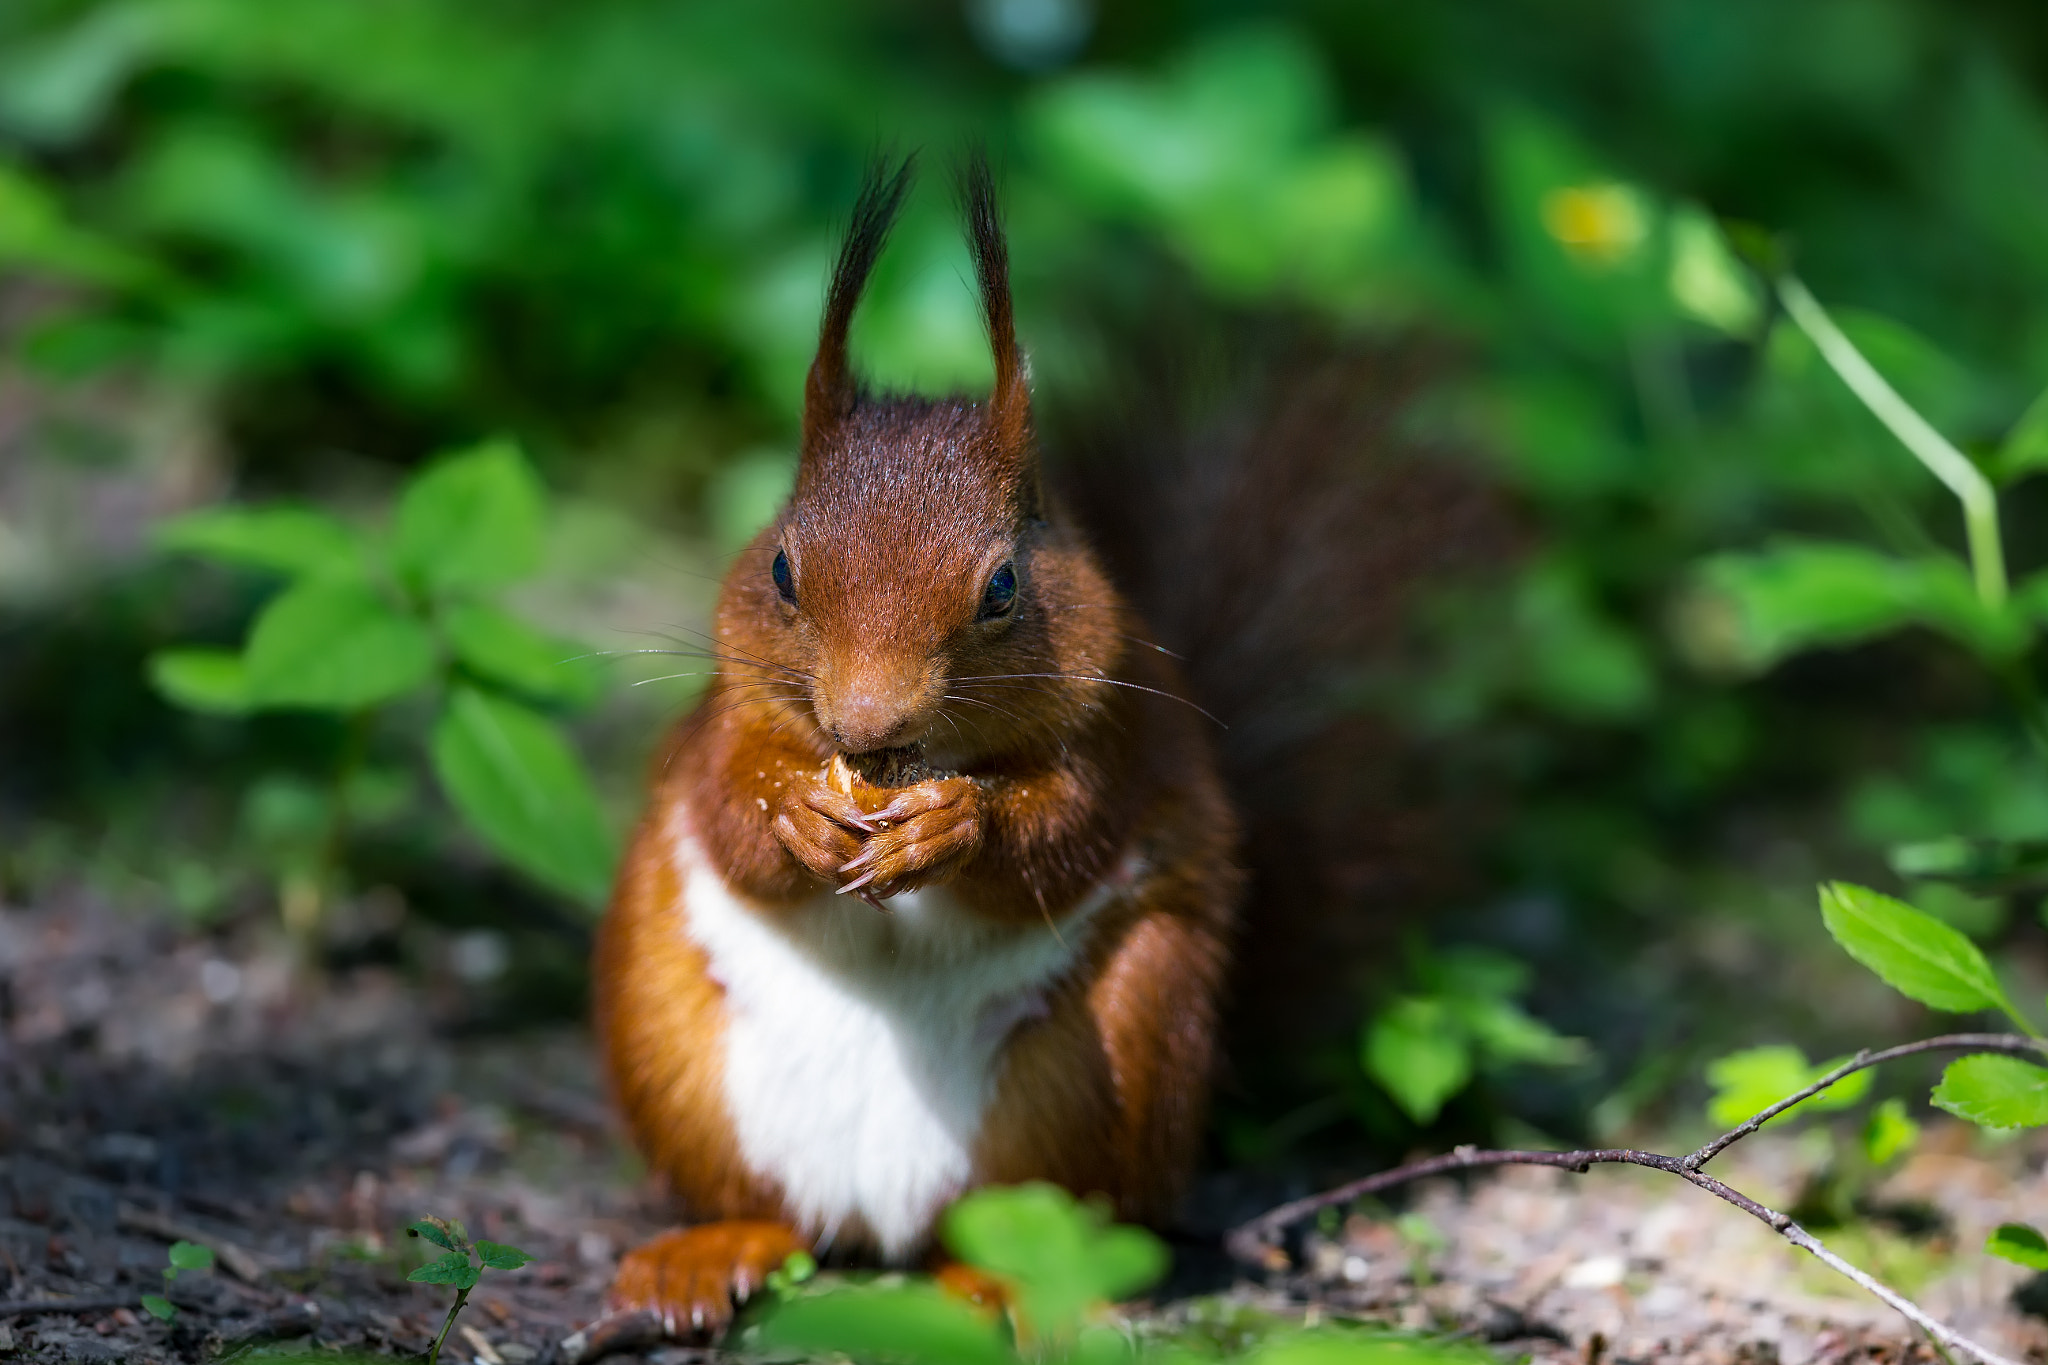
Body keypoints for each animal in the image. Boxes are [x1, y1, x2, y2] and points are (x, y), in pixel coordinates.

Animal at [585, 152, 1236, 1334]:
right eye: (780, 567)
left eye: (1004, 587)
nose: (865, 725)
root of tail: (876, 1215)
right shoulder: (721, 720)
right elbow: (726, 805)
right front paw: (792, 808)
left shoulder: (1115, 734)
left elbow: (1062, 838)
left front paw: (953, 824)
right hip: (668, 1041)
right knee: (770, 1212)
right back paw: (707, 1252)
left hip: (1124, 1048)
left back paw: (1014, 1288)